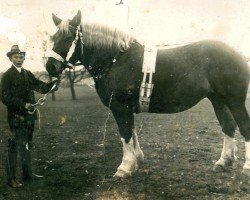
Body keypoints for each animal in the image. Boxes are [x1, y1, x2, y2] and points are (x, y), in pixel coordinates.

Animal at [45, 10, 250, 178]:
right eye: (54, 37)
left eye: (69, 37)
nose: (50, 67)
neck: (116, 60)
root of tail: (238, 54)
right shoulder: (127, 107)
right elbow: (132, 132)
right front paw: (137, 160)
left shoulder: (120, 107)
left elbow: (125, 133)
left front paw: (125, 167)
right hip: (218, 100)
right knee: (228, 125)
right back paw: (223, 162)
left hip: (235, 101)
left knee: (244, 126)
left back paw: (246, 166)